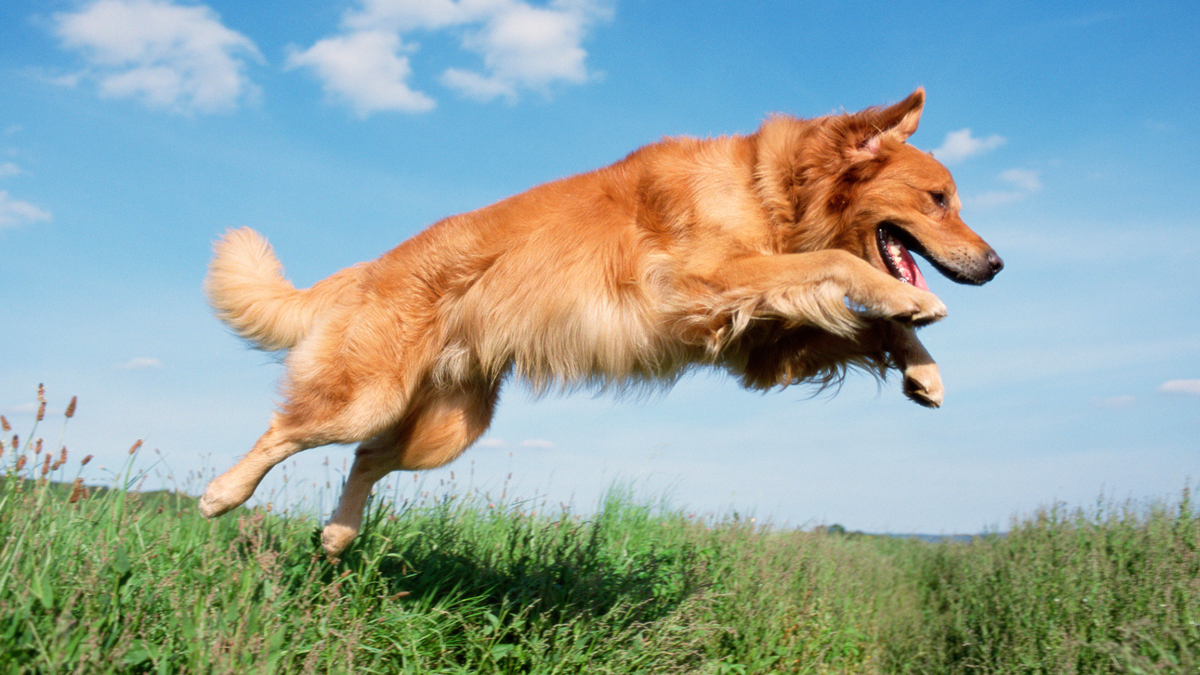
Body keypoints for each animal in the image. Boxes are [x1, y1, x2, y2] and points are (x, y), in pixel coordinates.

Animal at [199, 88, 1003, 552]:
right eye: (938, 199)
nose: (996, 265)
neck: (768, 188)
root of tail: (373, 264)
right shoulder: (703, 282)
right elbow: (840, 269)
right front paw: (914, 303)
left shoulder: (760, 343)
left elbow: (863, 324)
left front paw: (923, 367)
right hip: (368, 395)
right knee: (286, 431)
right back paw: (222, 494)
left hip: (447, 427)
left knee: (365, 458)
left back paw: (337, 535)